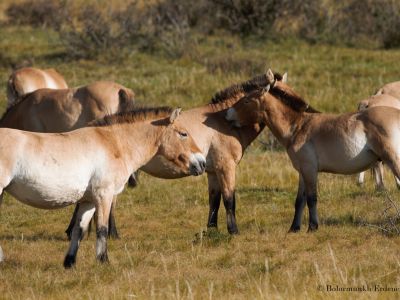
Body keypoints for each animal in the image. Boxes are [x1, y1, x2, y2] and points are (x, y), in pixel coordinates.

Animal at [69, 74, 276, 236]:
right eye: (245, 100)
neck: (221, 123)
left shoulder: (212, 171)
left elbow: (214, 201)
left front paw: (212, 230)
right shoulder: (226, 168)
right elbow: (229, 199)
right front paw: (233, 231)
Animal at [227, 68, 400, 232]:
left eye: (247, 100)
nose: (228, 114)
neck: (298, 127)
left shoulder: (310, 170)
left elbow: (311, 198)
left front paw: (312, 226)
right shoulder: (303, 171)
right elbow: (300, 201)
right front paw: (294, 228)